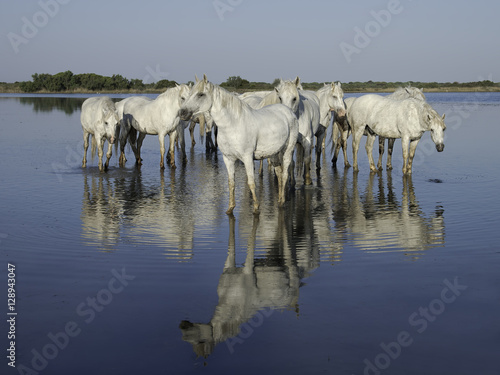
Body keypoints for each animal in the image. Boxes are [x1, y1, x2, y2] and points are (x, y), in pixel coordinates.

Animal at [179, 75, 296, 216]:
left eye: (201, 94)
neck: (233, 124)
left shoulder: (247, 157)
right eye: (190, 93)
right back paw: (279, 199)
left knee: (284, 174)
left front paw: (256, 208)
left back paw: (282, 202)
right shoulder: (228, 158)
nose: (182, 113)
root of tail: (289, 111)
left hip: (288, 151)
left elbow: (251, 182)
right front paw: (230, 208)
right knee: (279, 173)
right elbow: (231, 183)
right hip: (274, 152)